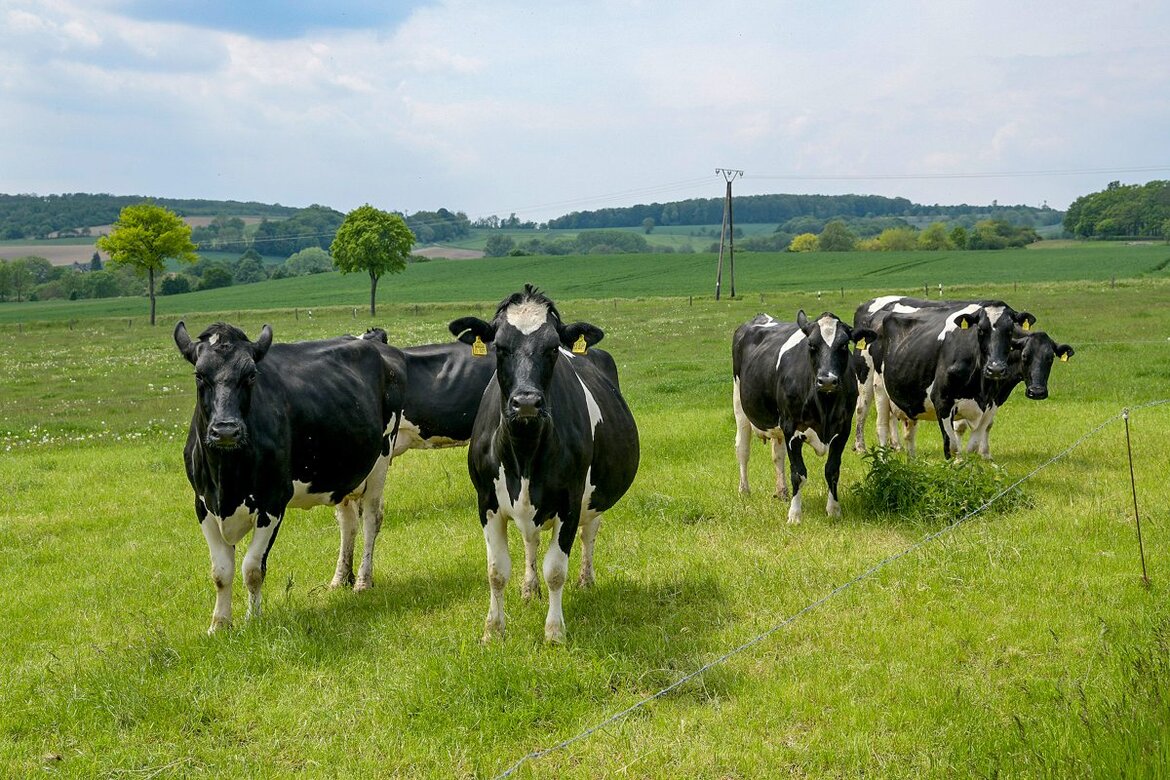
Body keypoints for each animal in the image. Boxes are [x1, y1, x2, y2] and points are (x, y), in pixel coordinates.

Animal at [174, 322, 406, 634]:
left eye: (251, 375)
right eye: (199, 375)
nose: (225, 430)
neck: (226, 481)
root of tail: (372, 340)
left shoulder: (272, 503)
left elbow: (252, 568)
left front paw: (253, 620)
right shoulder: (203, 506)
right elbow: (221, 572)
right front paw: (219, 625)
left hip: (381, 458)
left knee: (371, 520)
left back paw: (362, 581)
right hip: (342, 472)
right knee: (348, 523)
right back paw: (339, 579)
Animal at [449, 285, 639, 643]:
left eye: (552, 349)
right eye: (500, 347)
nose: (526, 401)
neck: (524, 455)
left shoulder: (569, 502)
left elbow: (556, 570)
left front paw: (554, 632)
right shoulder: (486, 501)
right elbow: (496, 571)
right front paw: (493, 630)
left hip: (595, 495)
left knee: (589, 534)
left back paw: (586, 580)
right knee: (530, 541)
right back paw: (528, 589)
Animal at [732, 311, 875, 524]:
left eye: (844, 345)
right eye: (811, 345)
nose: (827, 380)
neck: (824, 407)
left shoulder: (843, 429)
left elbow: (832, 470)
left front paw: (834, 510)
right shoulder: (792, 428)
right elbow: (798, 473)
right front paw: (794, 515)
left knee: (777, 454)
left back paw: (782, 492)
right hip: (740, 405)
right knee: (742, 449)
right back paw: (744, 490)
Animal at [868, 302, 1036, 459]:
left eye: (1010, 331)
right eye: (980, 330)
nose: (995, 369)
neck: (981, 389)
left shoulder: (990, 405)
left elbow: (973, 446)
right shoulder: (942, 401)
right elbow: (952, 447)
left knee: (909, 432)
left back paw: (912, 461)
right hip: (879, 389)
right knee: (881, 428)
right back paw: (883, 461)